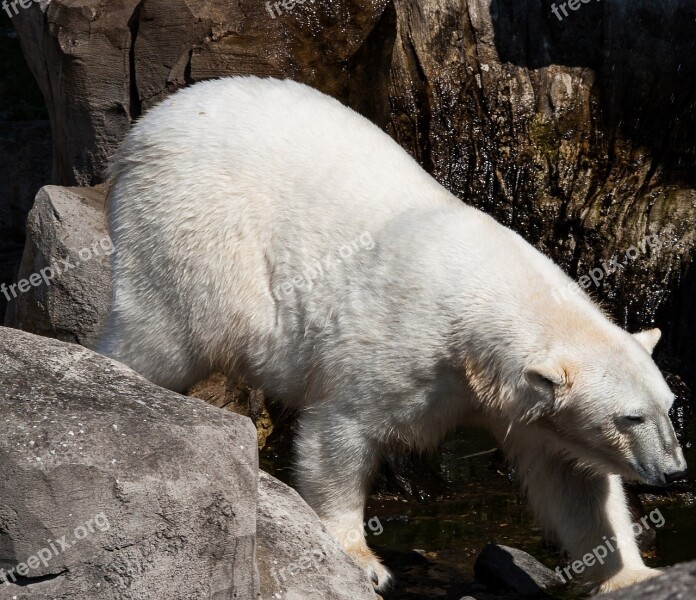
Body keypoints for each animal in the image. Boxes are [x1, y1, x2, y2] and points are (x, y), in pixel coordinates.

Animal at [96, 75, 684, 592]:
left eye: (667, 406)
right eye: (630, 417)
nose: (676, 472)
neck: (481, 307)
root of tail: (145, 128)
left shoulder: (518, 403)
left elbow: (575, 483)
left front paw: (633, 574)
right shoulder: (401, 347)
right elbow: (340, 433)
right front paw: (364, 561)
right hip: (193, 230)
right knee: (161, 336)